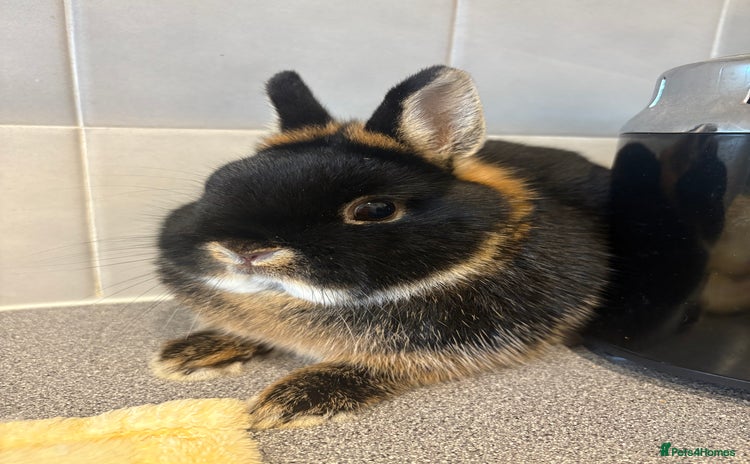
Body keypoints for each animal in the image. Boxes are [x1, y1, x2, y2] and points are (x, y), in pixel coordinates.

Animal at [152, 65, 611, 430]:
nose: (243, 250)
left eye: (375, 209)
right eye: (216, 182)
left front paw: (290, 402)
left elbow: (385, 366)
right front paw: (186, 354)